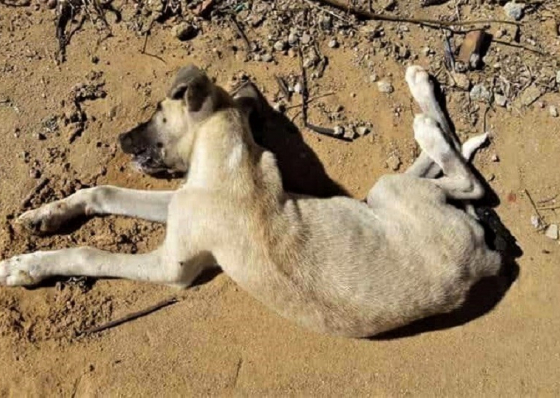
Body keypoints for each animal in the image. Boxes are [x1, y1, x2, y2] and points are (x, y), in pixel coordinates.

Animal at [0, 64, 500, 336]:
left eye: (158, 112)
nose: (121, 139)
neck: (230, 162)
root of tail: (483, 261)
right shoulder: (180, 204)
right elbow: (103, 191)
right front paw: (46, 214)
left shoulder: (171, 267)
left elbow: (87, 254)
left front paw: (25, 266)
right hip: (380, 197)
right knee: (445, 169)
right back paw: (429, 111)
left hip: (391, 191)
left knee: (471, 183)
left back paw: (426, 119)